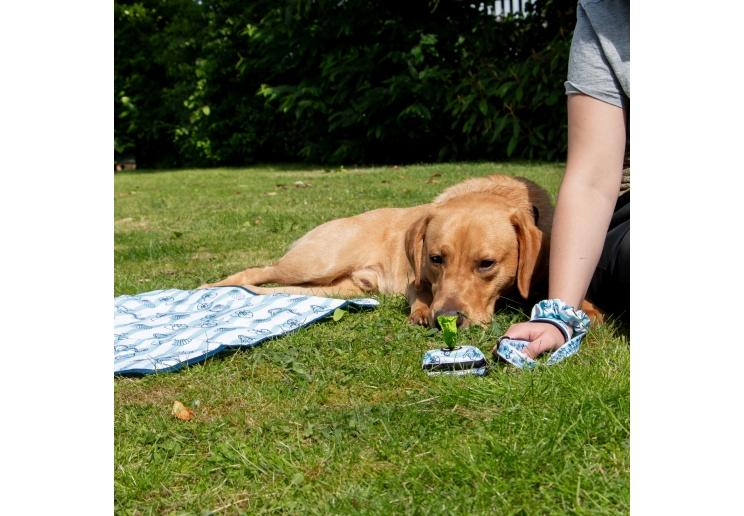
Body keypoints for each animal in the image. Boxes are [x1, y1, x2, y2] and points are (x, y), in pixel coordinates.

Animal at [201, 173, 556, 326]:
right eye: (435, 259)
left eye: (486, 264)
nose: (447, 319)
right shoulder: (416, 280)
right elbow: (422, 293)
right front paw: (422, 311)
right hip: (316, 262)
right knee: (256, 271)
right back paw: (210, 286)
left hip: (332, 288)